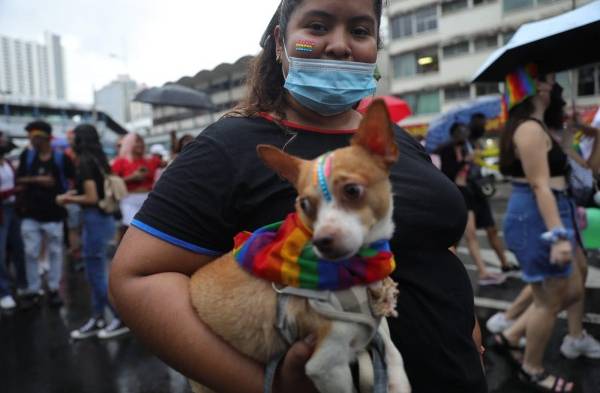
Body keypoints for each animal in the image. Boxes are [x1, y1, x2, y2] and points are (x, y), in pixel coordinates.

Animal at [190, 101, 410, 392]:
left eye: (352, 190)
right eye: (304, 204)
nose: (321, 241)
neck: (355, 270)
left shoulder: (380, 339)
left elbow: (397, 369)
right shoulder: (326, 365)